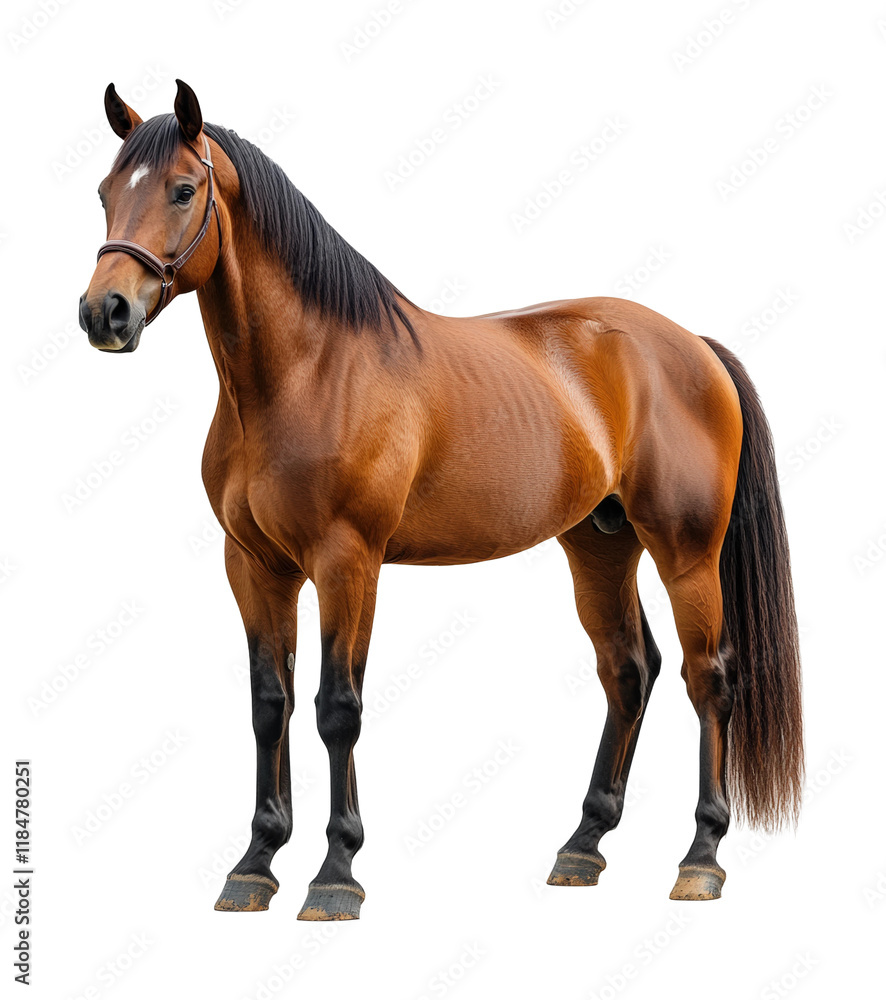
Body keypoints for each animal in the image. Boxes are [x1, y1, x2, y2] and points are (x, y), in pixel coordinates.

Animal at [78, 80, 803, 919]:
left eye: (182, 189)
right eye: (104, 194)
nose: (104, 313)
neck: (306, 373)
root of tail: (692, 347)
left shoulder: (348, 562)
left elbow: (337, 707)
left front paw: (336, 874)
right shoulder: (254, 565)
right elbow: (269, 704)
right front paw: (255, 864)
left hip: (686, 552)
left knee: (707, 677)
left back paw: (701, 858)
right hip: (600, 544)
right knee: (629, 671)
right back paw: (582, 846)